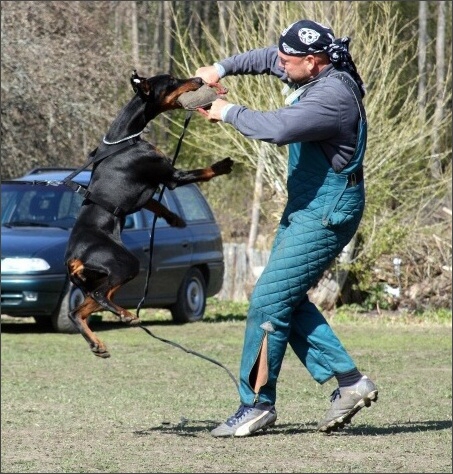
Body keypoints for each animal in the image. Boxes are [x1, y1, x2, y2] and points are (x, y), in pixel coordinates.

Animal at [66, 72, 233, 358]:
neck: (125, 137)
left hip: (94, 278)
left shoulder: (149, 190)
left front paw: (176, 219)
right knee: (100, 297)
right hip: (123, 263)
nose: (199, 79)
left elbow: (156, 204)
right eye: (172, 81)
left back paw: (98, 343)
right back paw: (126, 315)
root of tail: (74, 258)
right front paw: (222, 165)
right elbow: (203, 172)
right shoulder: (171, 175)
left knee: (77, 311)